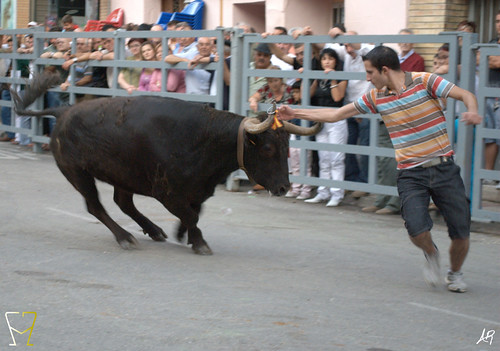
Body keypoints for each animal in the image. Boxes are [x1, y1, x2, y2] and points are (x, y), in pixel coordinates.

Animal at [13, 73, 322, 256]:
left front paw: (181, 233)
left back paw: (154, 231)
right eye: (268, 148)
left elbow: (194, 212)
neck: (203, 139)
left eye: (287, 148)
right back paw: (125, 237)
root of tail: (64, 111)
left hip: (122, 174)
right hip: (78, 173)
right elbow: (192, 215)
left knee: (123, 202)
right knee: (96, 206)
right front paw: (199, 242)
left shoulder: (196, 190)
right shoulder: (167, 192)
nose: (283, 187)